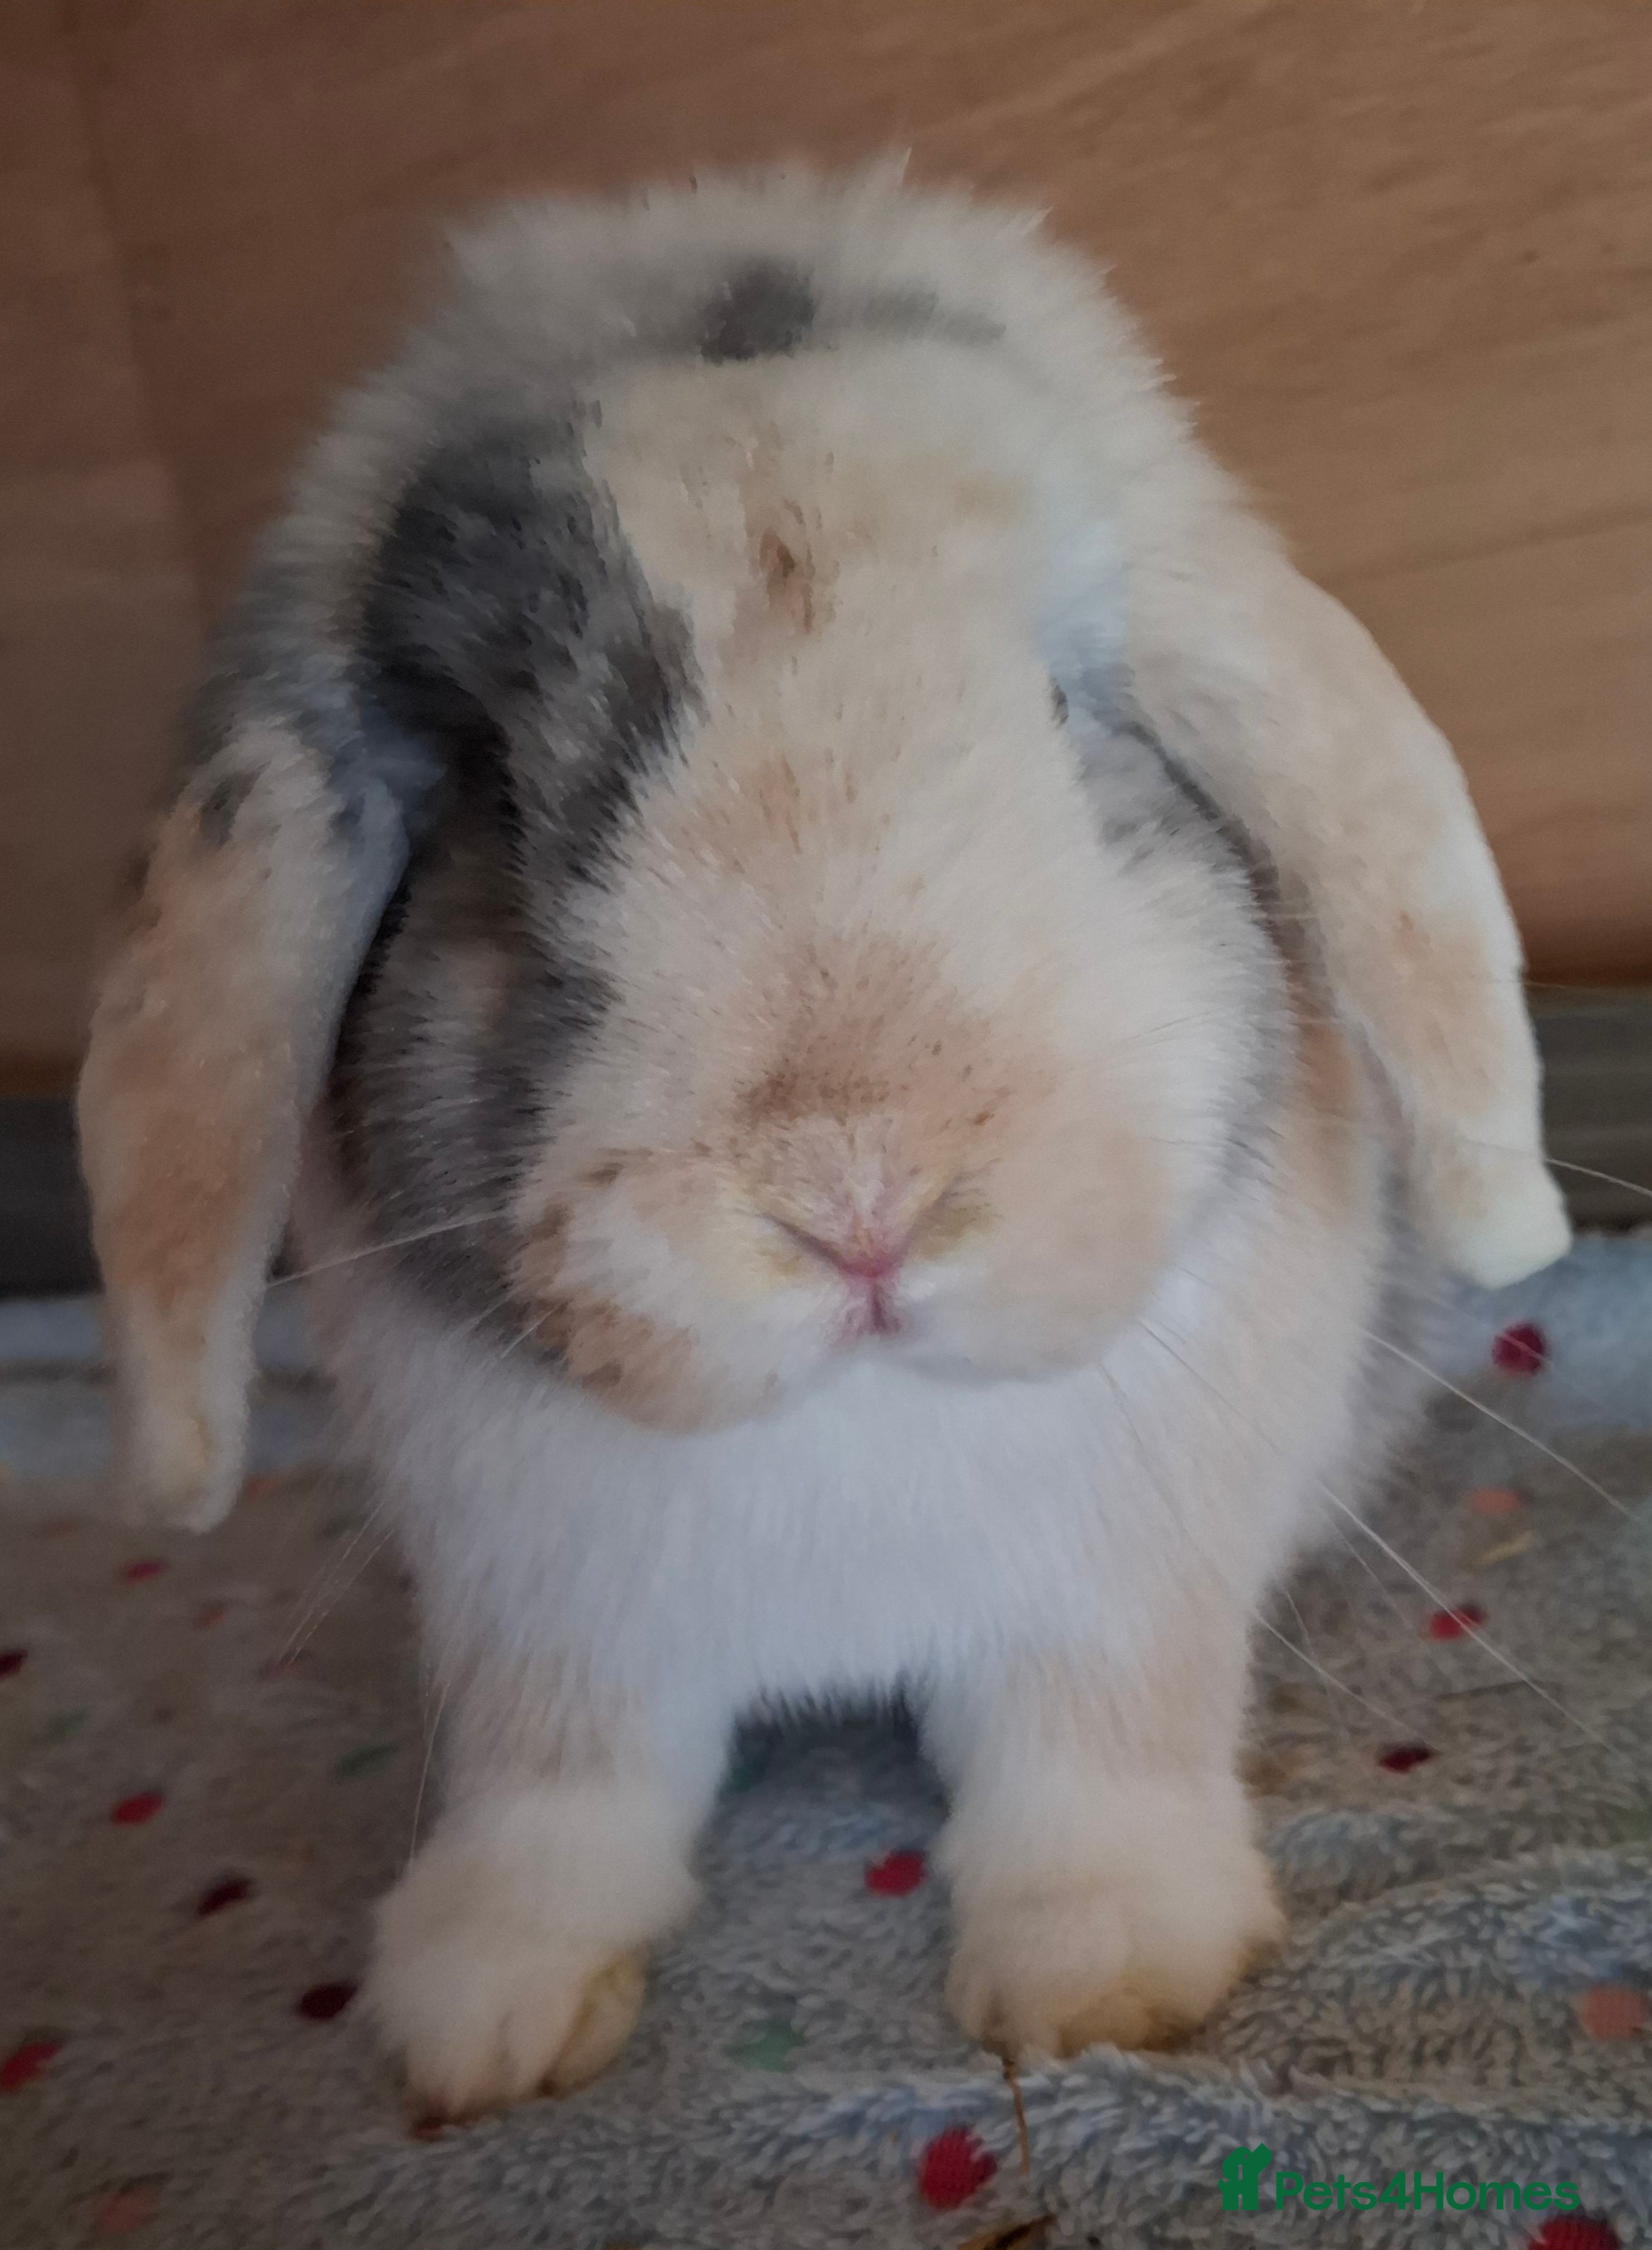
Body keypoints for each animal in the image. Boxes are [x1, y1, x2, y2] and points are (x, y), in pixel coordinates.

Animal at [77, 168, 1569, 2114]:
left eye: (1067, 716)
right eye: (500, 795)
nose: (860, 1195)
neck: (854, 1424)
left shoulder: (1112, 1610)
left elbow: (1095, 1766)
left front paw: (1104, 1981)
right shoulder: (544, 1629)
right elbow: (560, 1801)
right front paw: (484, 2015)